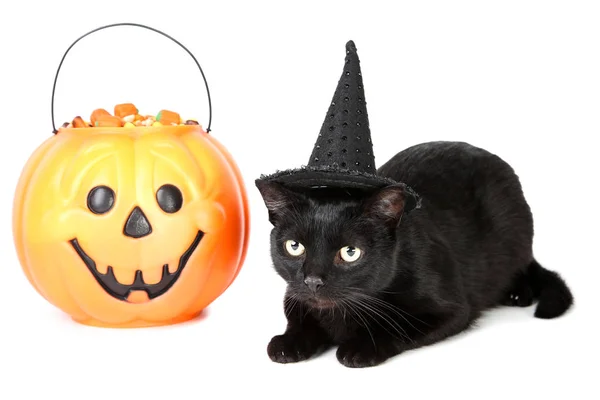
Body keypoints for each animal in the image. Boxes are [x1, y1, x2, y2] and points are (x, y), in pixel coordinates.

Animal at [255, 141, 576, 368]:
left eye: (350, 252)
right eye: (294, 247)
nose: (312, 280)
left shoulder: (452, 310)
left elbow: (398, 326)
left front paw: (361, 347)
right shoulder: (294, 296)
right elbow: (300, 319)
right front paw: (289, 342)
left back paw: (518, 293)